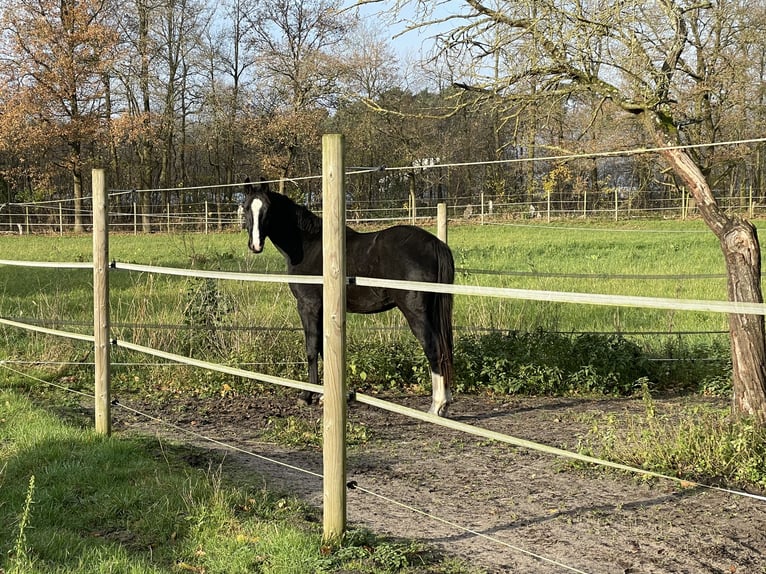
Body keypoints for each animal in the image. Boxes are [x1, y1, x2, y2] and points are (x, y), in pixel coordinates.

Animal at [243, 181, 456, 418]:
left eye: (268, 210)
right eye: (246, 207)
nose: (255, 245)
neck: (309, 246)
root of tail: (434, 244)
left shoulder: (308, 307)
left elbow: (311, 349)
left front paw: (306, 396)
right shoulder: (324, 310)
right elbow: (323, 349)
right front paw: (326, 395)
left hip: (416, 312)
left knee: (434, 348)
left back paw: (436, 406)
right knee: (445, 348)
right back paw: (444, 404)